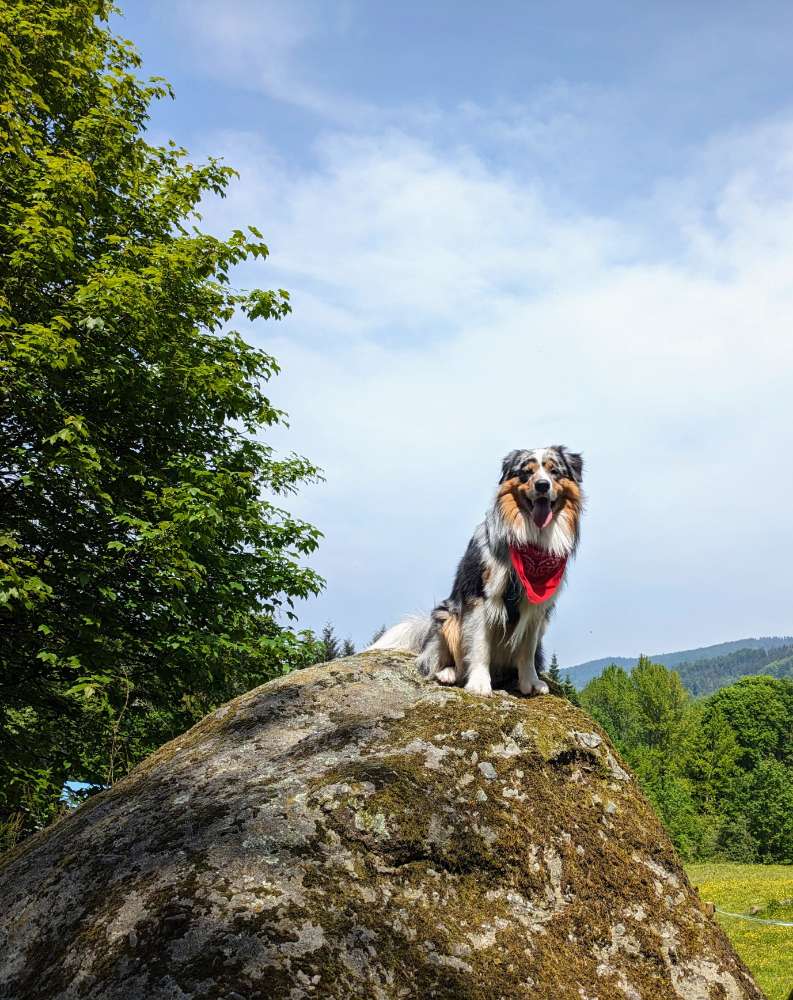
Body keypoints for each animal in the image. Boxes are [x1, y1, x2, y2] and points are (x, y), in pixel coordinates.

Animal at [370, 446, 580, 696]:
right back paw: (449, 672)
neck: (530, 539)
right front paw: (479, 683)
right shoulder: (479, 595)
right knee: (439, 657)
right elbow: (479, 645)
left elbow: (527, 651)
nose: (542, 485)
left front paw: (531, 682)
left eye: (554, 471)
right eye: (526, 473)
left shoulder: (536, 609)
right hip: (447, 616)